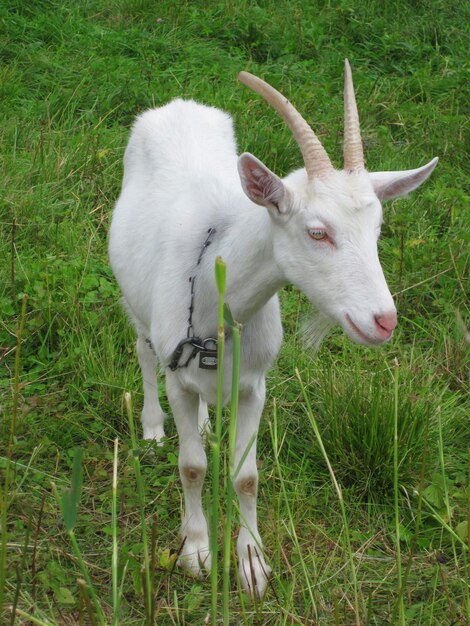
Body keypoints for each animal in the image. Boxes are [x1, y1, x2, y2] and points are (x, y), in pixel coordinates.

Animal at [109, 61, 436, 592]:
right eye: (317, 232)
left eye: (378, 229)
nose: (383, 321)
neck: (214, 289)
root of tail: (178, 104)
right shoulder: (178, 375)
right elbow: (193, 466)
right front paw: (197, 552)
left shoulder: (253, 384)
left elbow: (246, 476)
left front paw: (252, 564)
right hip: (134, 299)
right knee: (142, 351)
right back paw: (154, 427)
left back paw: (203, 421)